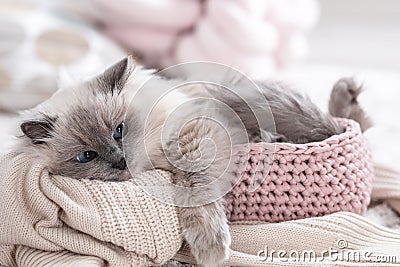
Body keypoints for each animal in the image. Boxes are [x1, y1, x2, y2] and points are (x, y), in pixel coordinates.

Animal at [16, 55, 372, 266]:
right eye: (86, 156)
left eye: (119, 130)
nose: (119, 161)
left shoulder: (196, 134)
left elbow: (195, 192)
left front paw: (211, 249)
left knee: (349, 121)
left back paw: (344, 94)